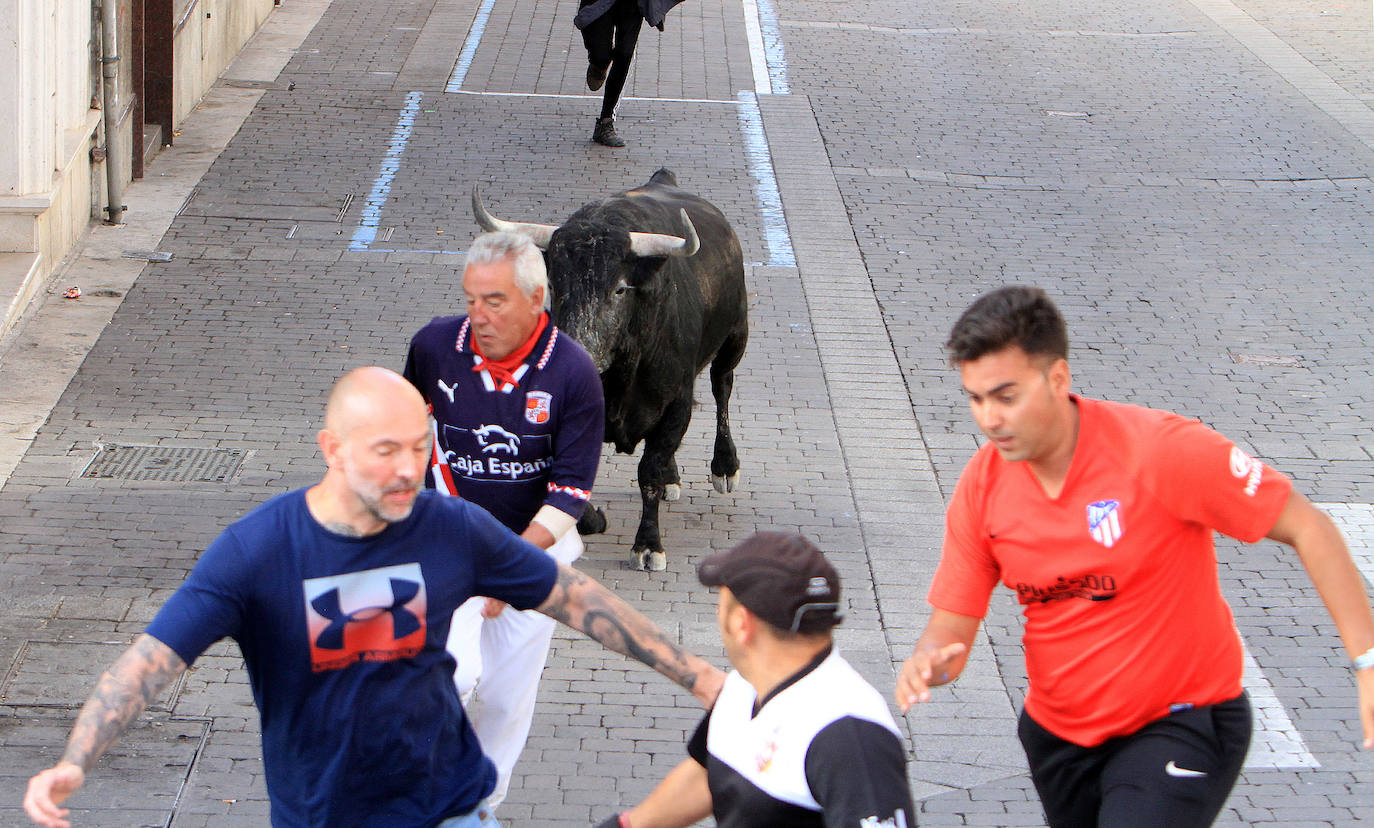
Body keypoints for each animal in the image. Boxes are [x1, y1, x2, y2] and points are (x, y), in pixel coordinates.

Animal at [475, 168, 752, 571]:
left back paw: (725, 467)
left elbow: (649, 471)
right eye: (554, 283)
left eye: (621, 289)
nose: (582, 351)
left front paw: (648, 546)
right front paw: (592, 518)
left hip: (735, 336)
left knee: (722, 387)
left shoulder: (676, 404)